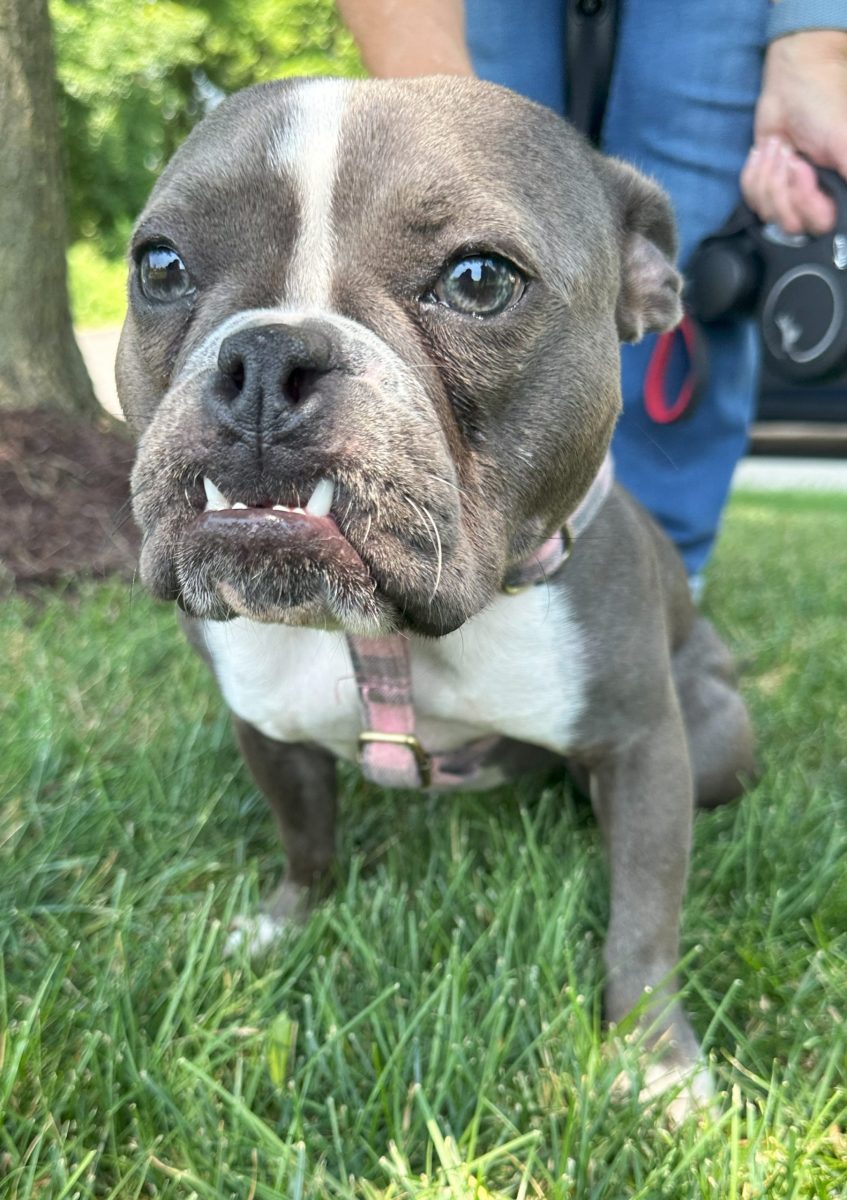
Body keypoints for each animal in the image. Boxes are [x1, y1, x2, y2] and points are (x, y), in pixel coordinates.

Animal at [117, 76, 755, 1114]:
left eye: (479, 281)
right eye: (161, 266)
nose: (265, 362)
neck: (392, 638)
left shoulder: (641, 747)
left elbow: (643, 922)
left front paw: (656, 1062)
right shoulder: (264, 727)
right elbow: (306, 835)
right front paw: (283, 920)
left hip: (714, 739)